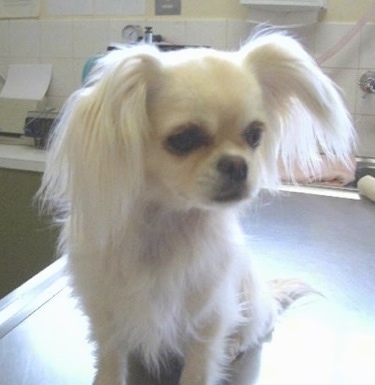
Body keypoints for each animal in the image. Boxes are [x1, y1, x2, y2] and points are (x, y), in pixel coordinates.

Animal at [41, 32, 356, 384]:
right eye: (184, 139)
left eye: (254, 135)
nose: (237, 164)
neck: (164, 222)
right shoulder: (105, 312)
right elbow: (110, 360)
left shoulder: (208, 319)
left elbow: (199, 368)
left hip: (248, 308)